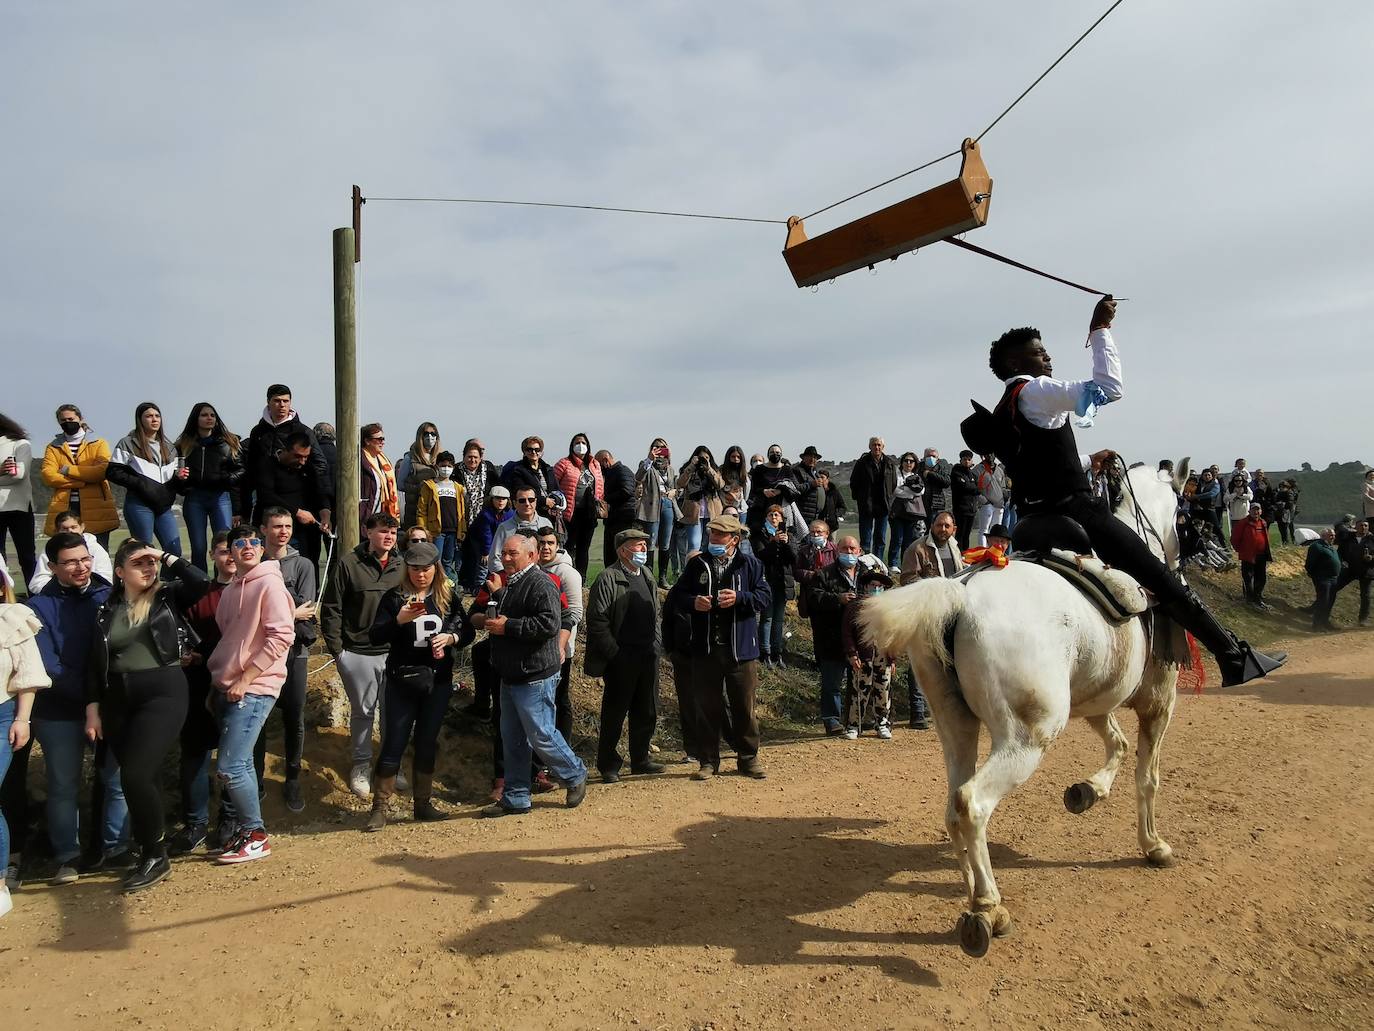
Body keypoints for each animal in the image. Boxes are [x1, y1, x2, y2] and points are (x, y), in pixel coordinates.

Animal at [862, 459, 1187, 962]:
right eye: (1181, 516)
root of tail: (961, 596)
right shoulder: (1157, 702)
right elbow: (1147, 775)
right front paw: (1153, 844)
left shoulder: (1097, 698)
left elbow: (1116, 741)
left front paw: (1089, 790)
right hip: (1026, 738)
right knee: (972, 803)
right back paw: (987, 908)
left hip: (957, 728)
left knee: (953, 807)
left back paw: (978, 895)